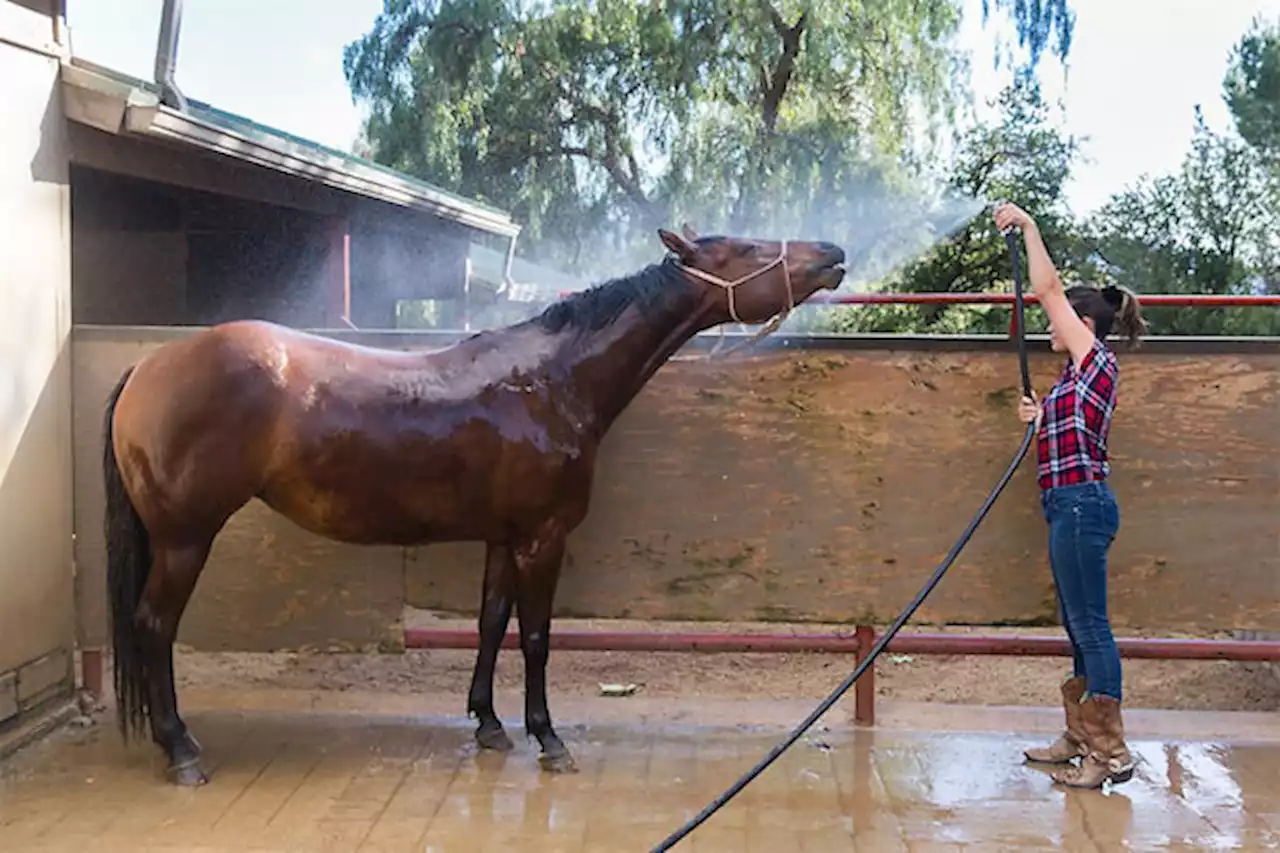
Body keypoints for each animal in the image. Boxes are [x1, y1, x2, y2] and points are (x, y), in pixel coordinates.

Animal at [99, 222, 839, 778]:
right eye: (744, 247)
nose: (832, 253)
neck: (553, 381)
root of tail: (148, 367)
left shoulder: (503, 536)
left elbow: (490, 623)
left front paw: (488, 724)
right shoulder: (544, 536)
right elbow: (536, 637)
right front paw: (549, 738)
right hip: (185, 539)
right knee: (154, 625)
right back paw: (181, 749)